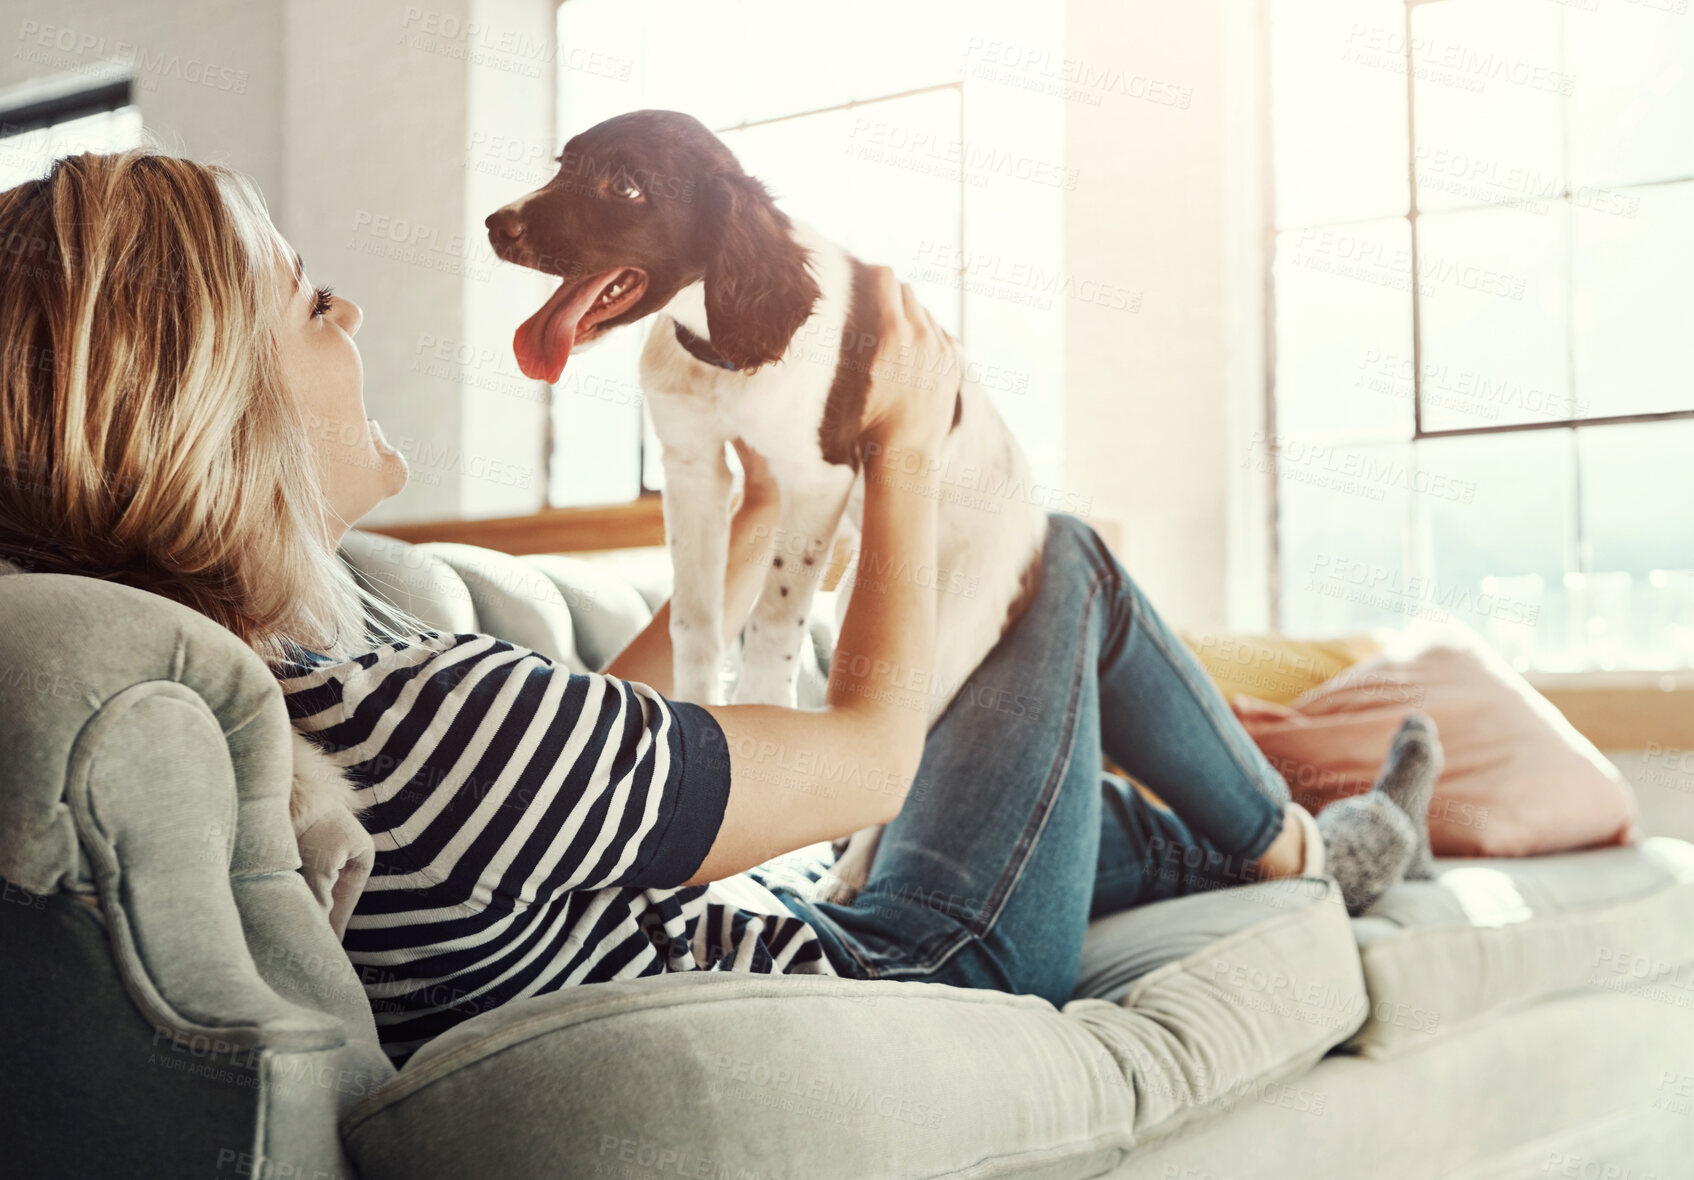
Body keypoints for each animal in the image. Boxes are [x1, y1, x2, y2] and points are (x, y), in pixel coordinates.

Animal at [487, 112, 1043, 900]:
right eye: (563, 166)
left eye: (625, 187)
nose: (494, 224)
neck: (718, 337)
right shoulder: (692, 470)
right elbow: (696, 619)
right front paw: (700, 705)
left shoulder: (816, 479)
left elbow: (775, 624)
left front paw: (763, 712)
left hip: (947, 637)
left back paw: (847, 874)